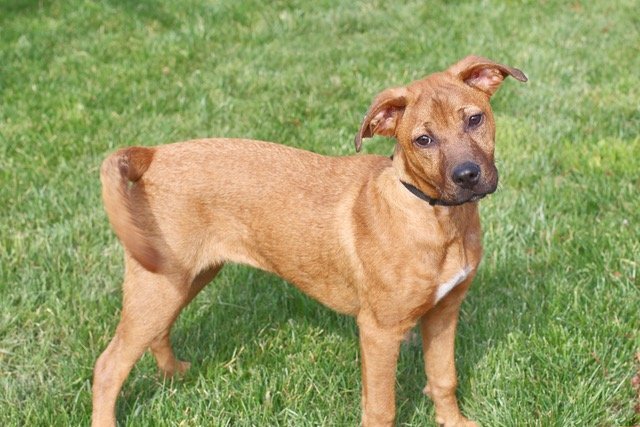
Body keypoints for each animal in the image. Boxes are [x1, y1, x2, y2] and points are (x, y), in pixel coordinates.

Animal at [92, 56, 528, 427]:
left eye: (474, 119)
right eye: (423, 140)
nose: (467, 175)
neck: (435, 217)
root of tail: (153, 154)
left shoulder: (444, 311)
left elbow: (443, 378)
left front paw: (453, 422)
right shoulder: (379, 331)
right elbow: (381, 408)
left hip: (184, 278)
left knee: (156, 334)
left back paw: (174, 374)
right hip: (158, 283)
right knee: (108, 366)